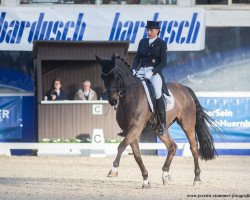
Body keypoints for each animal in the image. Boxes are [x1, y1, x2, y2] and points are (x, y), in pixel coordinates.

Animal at [95, 54, 217, 188]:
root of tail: (184, 88)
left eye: (115, 76)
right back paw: (165, 175)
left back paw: (196, 178)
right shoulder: (128, 131)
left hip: (187, 124)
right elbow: (136, 154)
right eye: (102, 77)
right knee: (172, 147)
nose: (112, 100)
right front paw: (145, 180)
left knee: (194, 149)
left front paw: (113, 170)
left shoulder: (135, 128)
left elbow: (121, 146)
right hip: (160, 129)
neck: (130, 97)